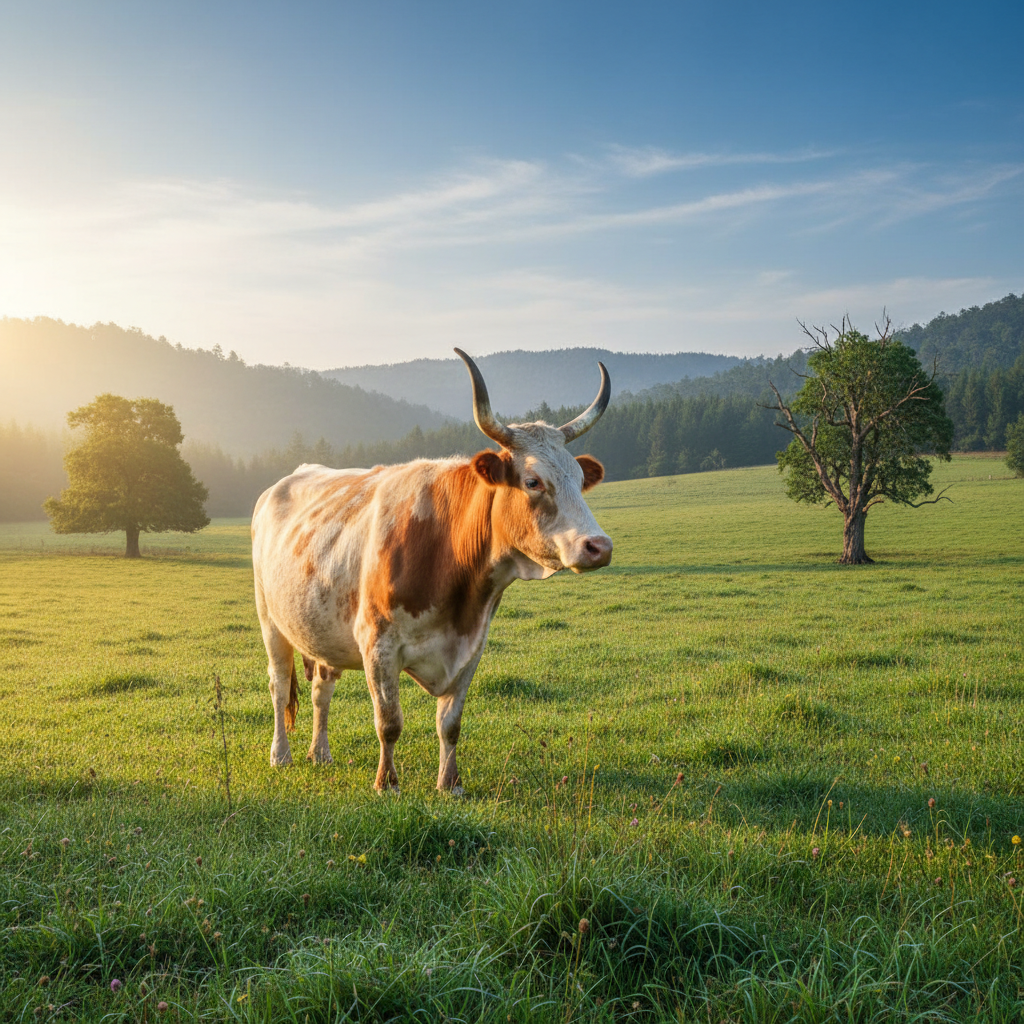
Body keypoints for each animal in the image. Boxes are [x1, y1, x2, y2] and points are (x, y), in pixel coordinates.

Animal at [251, 349, 612, 794]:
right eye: (532, 481)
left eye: (580, 480)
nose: (599, 546)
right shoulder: (378, 644)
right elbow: (389, 723)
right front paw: (387, 783)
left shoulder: (471, 646)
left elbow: (450, 723)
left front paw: (449, 783)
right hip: (270, 620)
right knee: (279, 685)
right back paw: (280, 755)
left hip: (321, 629)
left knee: (321, 688)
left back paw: (319, 753)